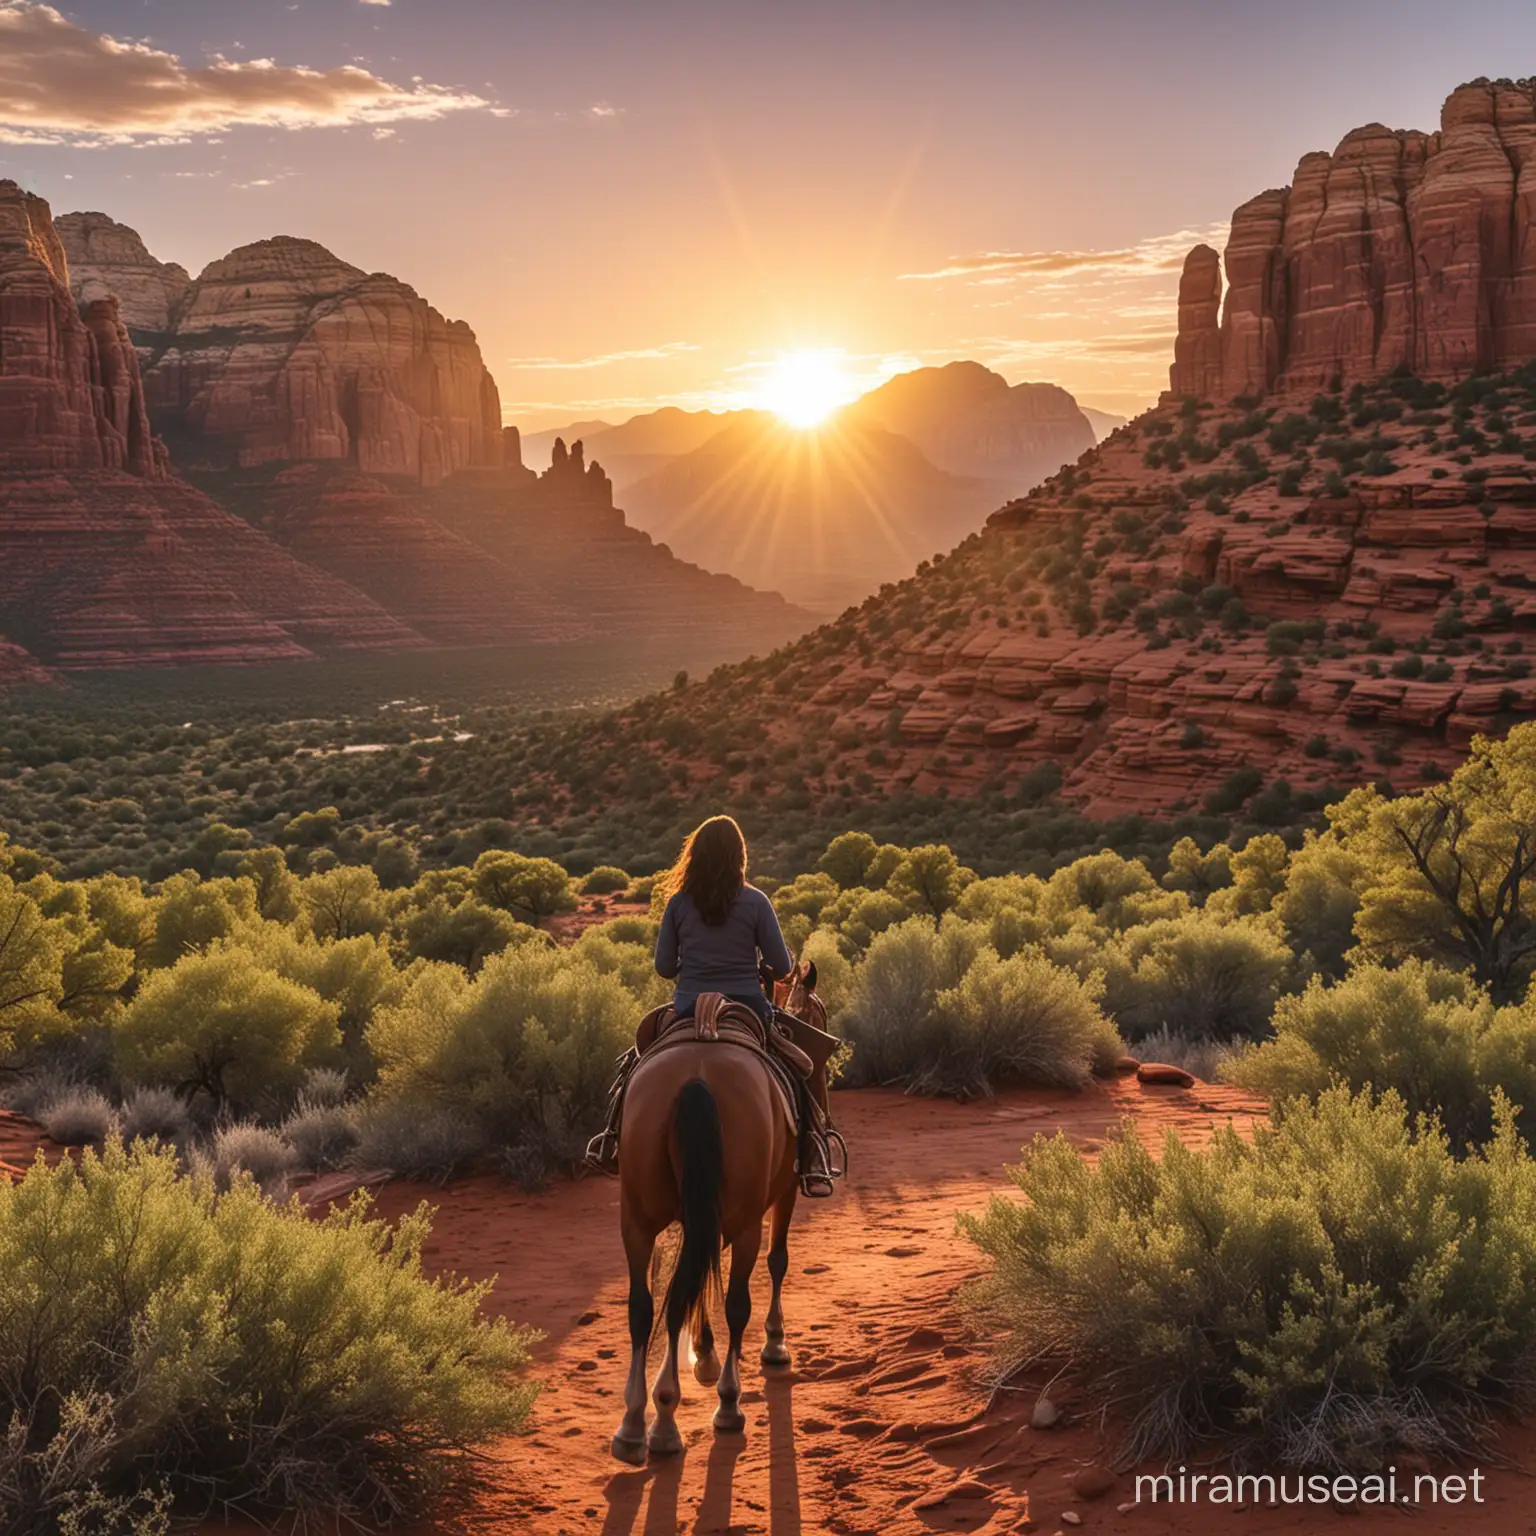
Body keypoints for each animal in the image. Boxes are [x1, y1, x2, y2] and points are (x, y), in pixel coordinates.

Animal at [605, 970, 823, 1462]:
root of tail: (696, 1079)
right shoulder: (779, 1194)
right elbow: (775, 1261)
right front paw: (773, 1343)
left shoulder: (699, 1213)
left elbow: (691, 1276)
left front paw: (701, 1353)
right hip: (743, 1221)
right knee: (735, 1300)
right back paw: (723, 1404)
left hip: (637, 1216)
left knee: (646, 1305)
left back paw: (639, 1423)